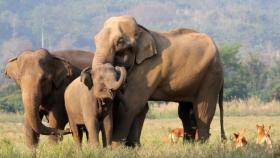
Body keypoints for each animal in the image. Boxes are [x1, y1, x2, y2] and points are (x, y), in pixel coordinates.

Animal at [91, 15, 226, 146]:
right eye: (95, 39)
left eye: (120, 42)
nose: (118, 68)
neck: (141, 30)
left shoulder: (149, 67)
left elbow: (132, 104)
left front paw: (117, 148)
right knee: (185, 113)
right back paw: (189, 146)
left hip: (211, 76)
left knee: (203, 112)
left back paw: (201, 146)